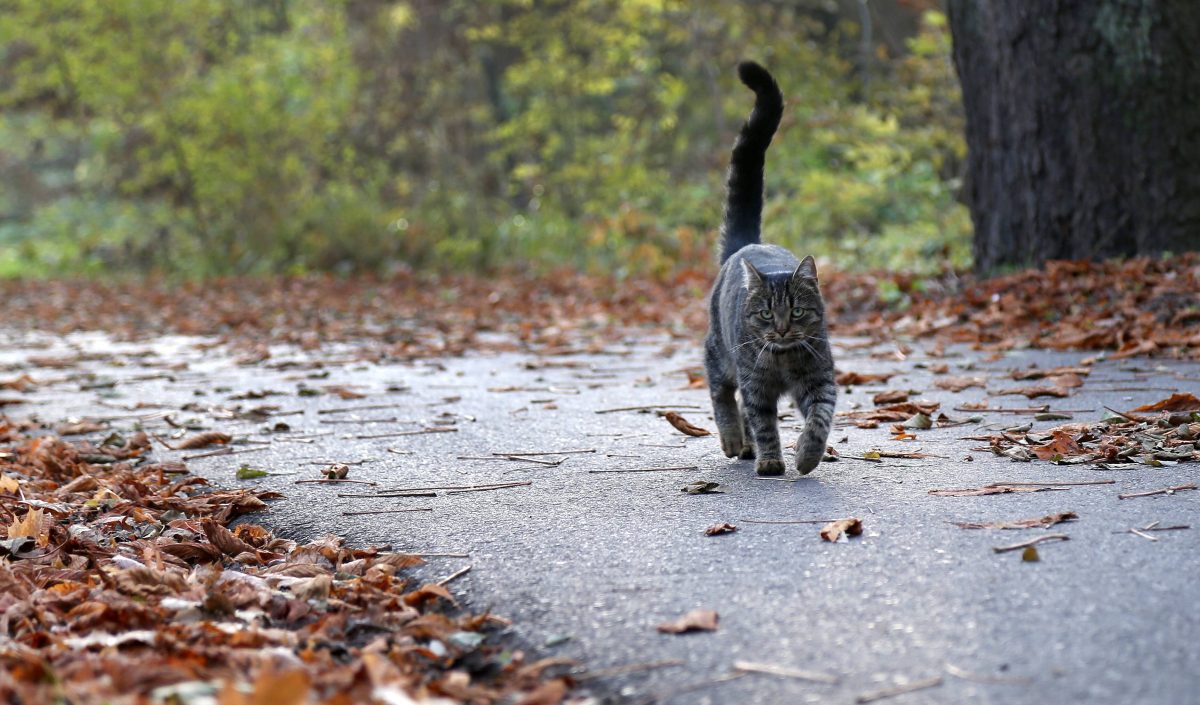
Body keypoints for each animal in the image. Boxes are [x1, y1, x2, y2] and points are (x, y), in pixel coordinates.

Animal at [700, 62, 835, 479]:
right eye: (764, 314)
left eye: (797, 311)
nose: (782, 328)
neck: (784, 359)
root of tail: (745, 244)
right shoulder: (756, 384)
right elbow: (763, 423)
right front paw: (772, 461)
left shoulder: (820, 380)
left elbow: (819, 419)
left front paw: (807, 455)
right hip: (719, 351)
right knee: (722, 394)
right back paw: (733, 440)